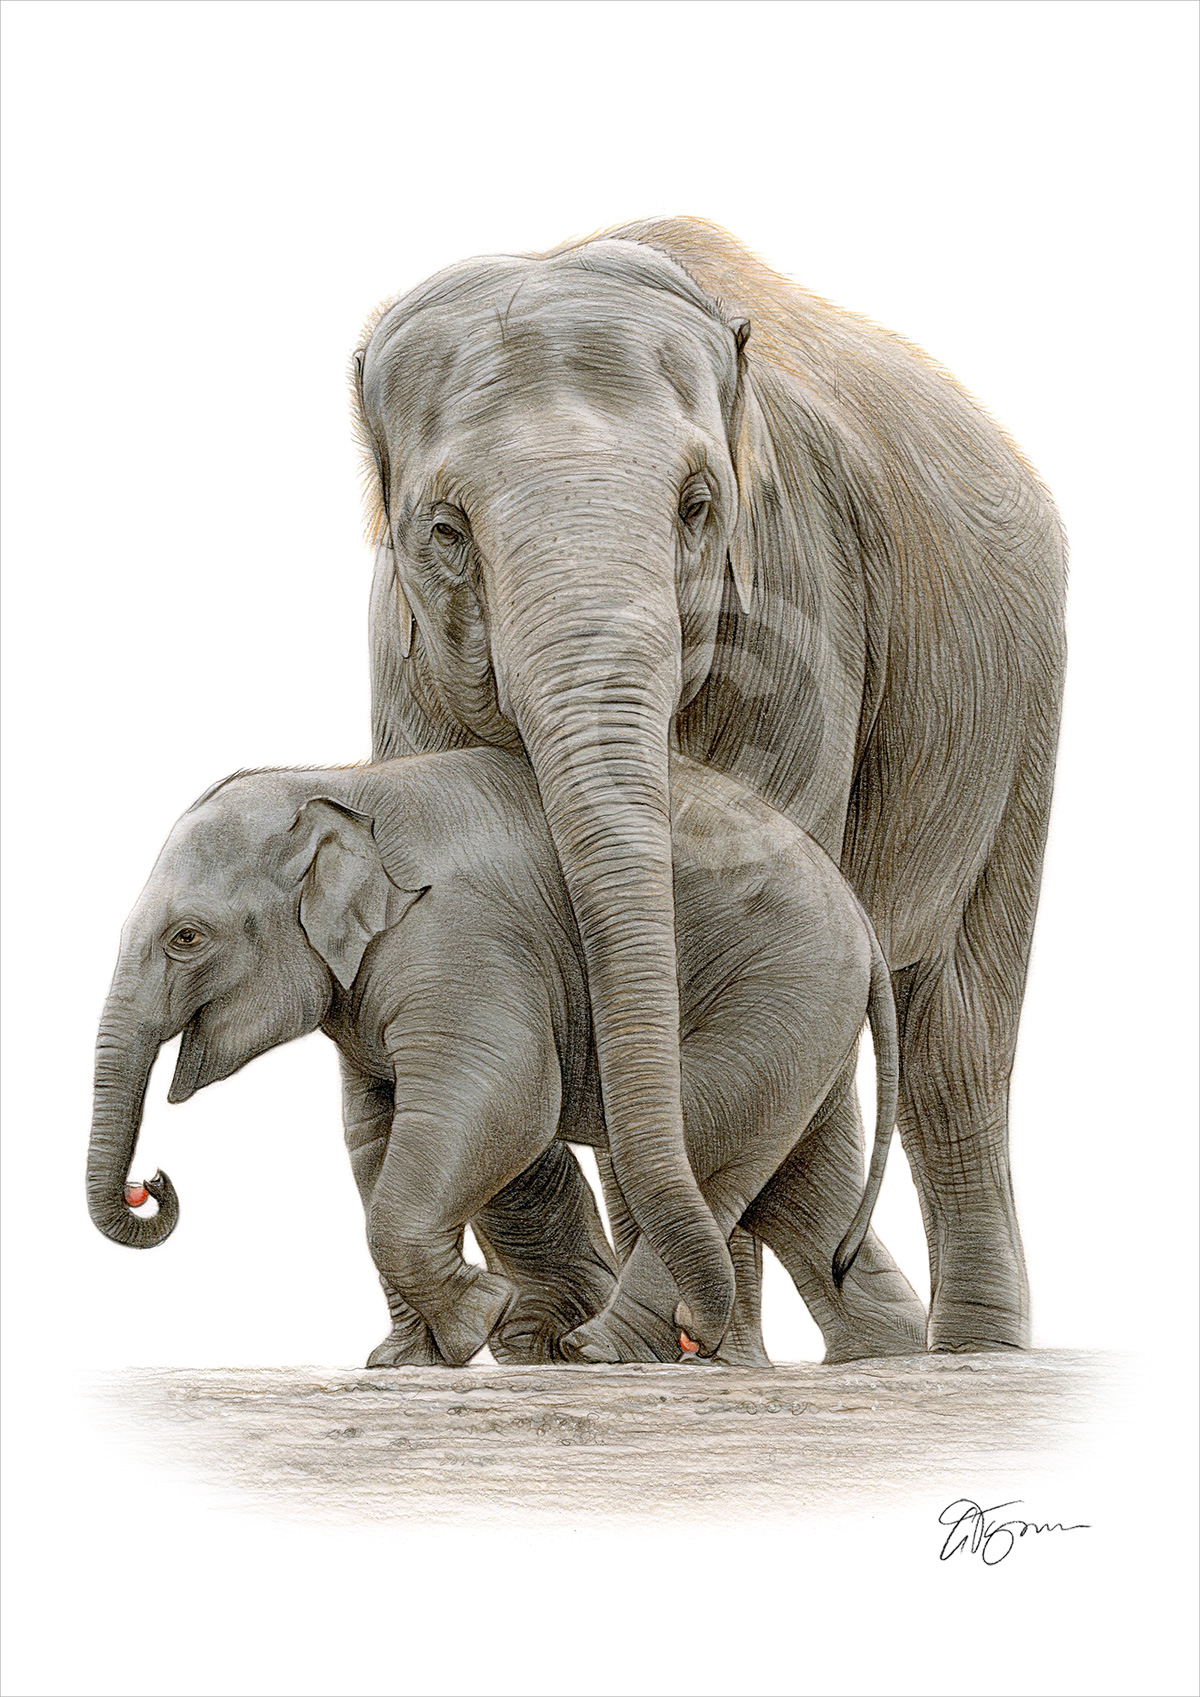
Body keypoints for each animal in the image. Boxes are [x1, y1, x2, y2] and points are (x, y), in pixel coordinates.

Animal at [86, 748, 915, 1366]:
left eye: (187, 937)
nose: (149, 1182)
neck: (334, 782)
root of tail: (859, 915)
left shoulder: (460, 935)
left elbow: (503, 1098)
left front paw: (479, 1318)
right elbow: (373, 1133)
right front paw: (400, 1361)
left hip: (784, 981)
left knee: (705, 1138)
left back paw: (602, 1350)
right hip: (806, 1011)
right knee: (798, 1180)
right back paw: (885, 1351)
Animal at [356, 216, 1066, 1359]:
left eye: (698, 508)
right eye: (446, 530)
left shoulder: (801, 603)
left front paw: (693, 1351)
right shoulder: (402, 657)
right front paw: (587, 1337)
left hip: (1020, 704)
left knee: (960, 1030)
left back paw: (966, 1349)